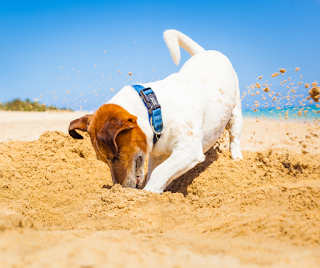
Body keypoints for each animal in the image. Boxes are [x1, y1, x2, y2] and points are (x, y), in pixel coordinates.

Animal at [68, 29, 242, 193]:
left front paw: (148, 192)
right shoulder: (157, 154)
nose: (120, 188)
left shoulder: (188, 150)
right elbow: (156, 173)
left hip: (235, 111)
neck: (155, 112)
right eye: (103, 160)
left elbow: (160, 172)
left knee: (235, 137)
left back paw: (237, 159)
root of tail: (205, 52)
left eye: (115, 157)